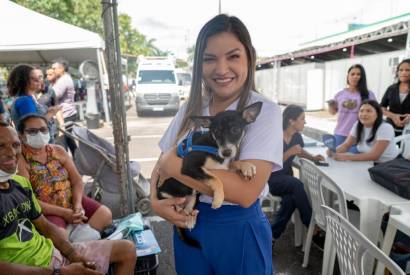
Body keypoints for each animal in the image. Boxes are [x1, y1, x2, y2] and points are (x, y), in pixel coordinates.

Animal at [157, 101, 262, 248]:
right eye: (216, 132)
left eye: (236, 130)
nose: (226, 152)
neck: (215, 147)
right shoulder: (190, 165)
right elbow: (215, 178)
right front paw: (218, 199)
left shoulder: (224, 166)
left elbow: (233, 163)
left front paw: (246, 166)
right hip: (165, 197)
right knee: (176, 209)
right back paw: (181, 212)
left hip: (193, 198)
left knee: (188, 209)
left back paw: (190, 219)